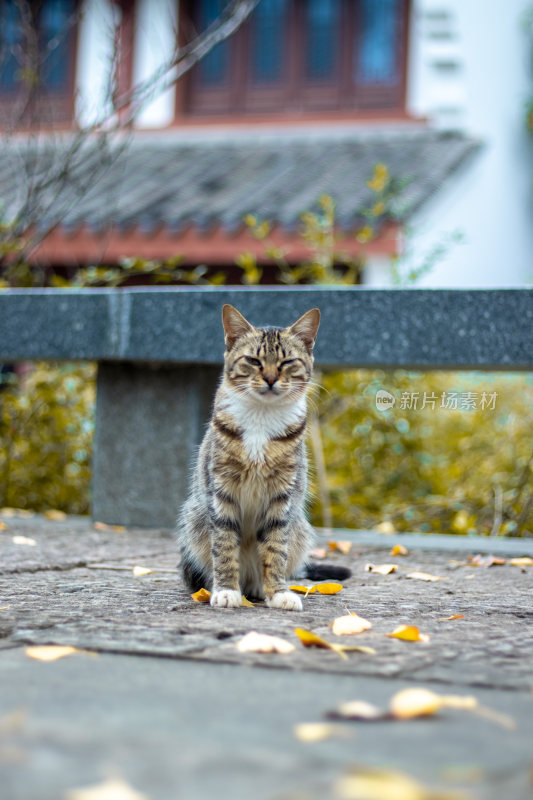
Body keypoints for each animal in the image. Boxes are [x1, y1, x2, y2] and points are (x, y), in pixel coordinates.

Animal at [176, 304, 350, 608]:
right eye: (253, 361)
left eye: (287, 362)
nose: (270, 378)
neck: (261, 417)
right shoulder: (222, 489)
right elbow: (224, 545)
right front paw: (226, 590)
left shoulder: (282, 495)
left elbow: (275, 549)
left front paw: (278, 592)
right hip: (194, 520)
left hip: (299, 528)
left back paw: (259, 588)